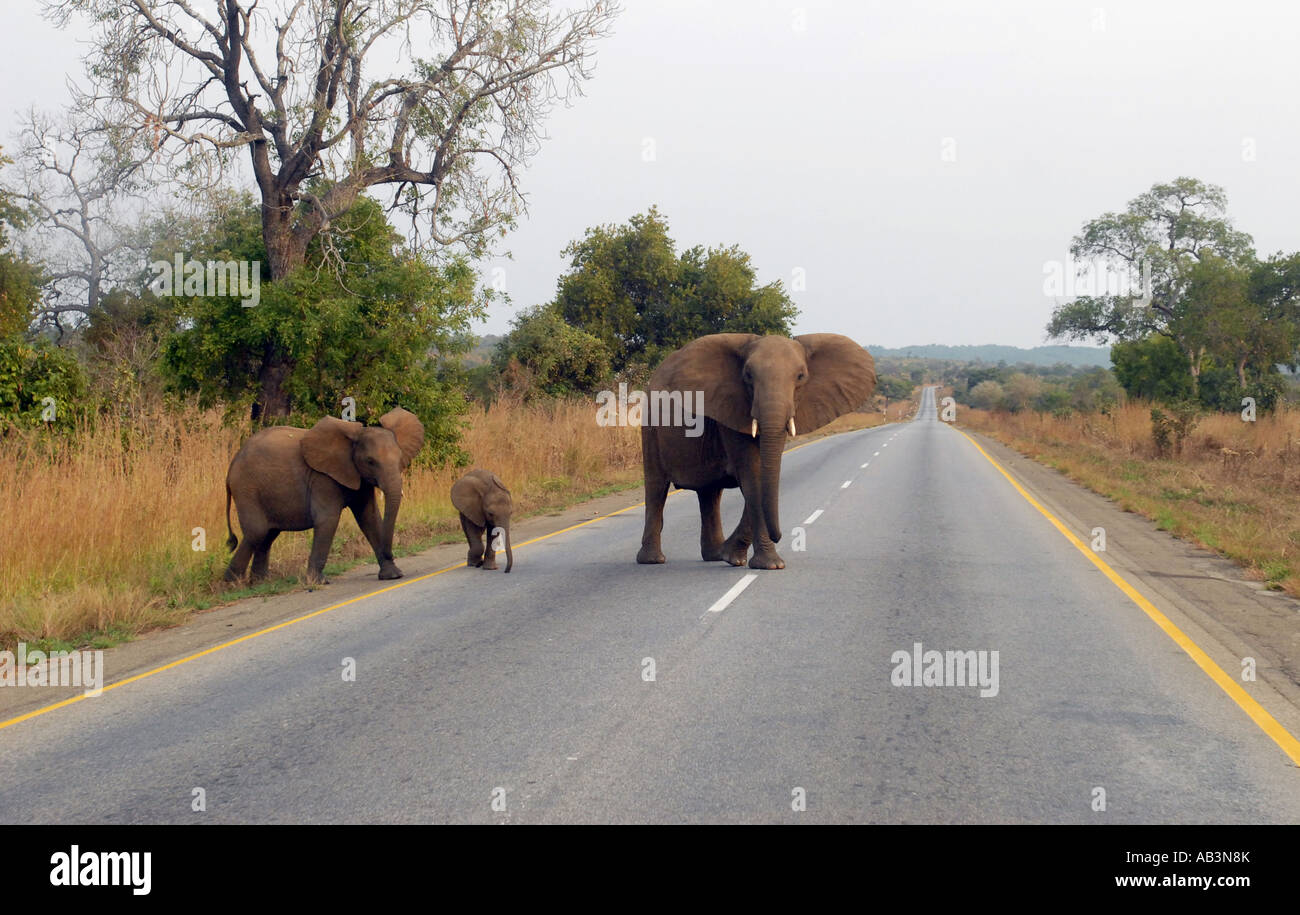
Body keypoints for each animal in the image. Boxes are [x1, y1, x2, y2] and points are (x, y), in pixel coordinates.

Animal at [223, 408, 426, 587]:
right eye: (370, 461)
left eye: (400, 458)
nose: (391, 552)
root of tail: (232, 465)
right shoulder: (322, 478)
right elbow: (328, 519)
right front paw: (317, 582)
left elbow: (369, 518)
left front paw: (392, 575)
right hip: (247, 489)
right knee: (257, 532)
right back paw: (232, 584)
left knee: (268, 534)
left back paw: (259, 583)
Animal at [637, 332, 873, 569]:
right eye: (748, 376)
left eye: (800, 377)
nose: (779, 536)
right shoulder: (731, 409)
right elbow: (753, 475)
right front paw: (769, 565)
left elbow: (763, 476)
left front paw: (731, 556)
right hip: (651, 426)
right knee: (656, 487)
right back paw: (652, 560)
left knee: (709, 493)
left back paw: (714, 555)